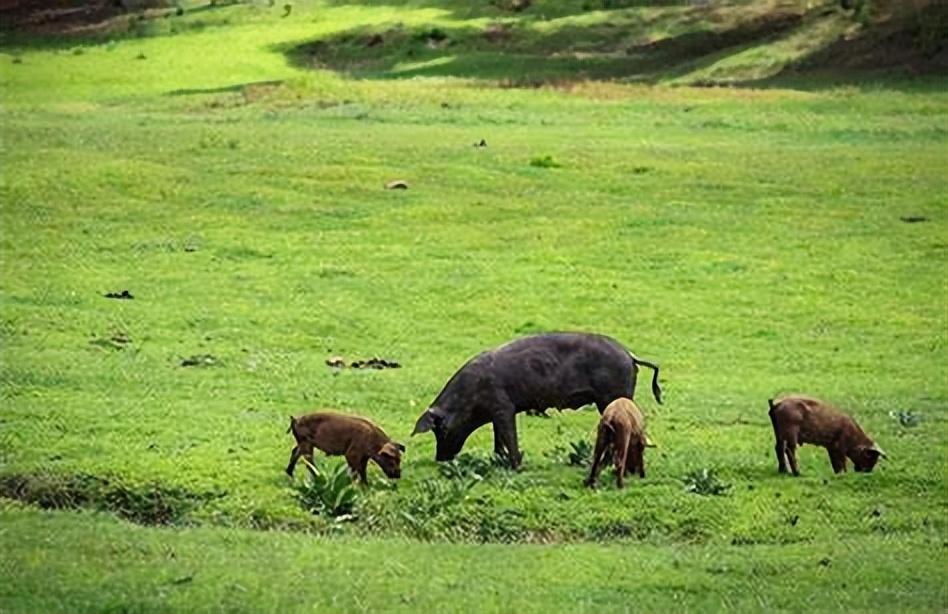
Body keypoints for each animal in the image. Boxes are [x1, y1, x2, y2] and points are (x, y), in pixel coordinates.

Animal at [412, 332, 664, 472]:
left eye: (440, 430)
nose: (439, 459)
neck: (469, 395)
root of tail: (630, 356)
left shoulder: (504, 407)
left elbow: (509, 435)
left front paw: (516, 467)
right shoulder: (496, 412)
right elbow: (498, 438)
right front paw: (498, 461)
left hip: (612, 396)